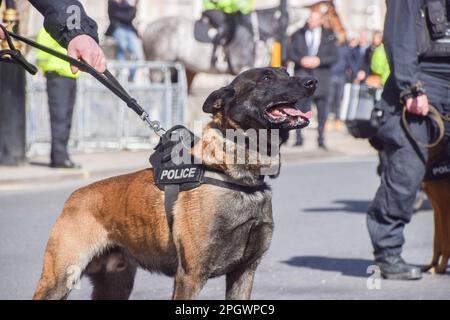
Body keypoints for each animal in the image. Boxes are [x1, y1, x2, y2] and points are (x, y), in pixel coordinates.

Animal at [32, 67, 316, 300]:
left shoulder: (244, 272)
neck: (235, 176)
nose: (312, 81)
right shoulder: (190, 276)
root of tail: (73, 198)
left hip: (115, 285)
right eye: (267, 78)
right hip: (58, 280)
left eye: (286, 72)